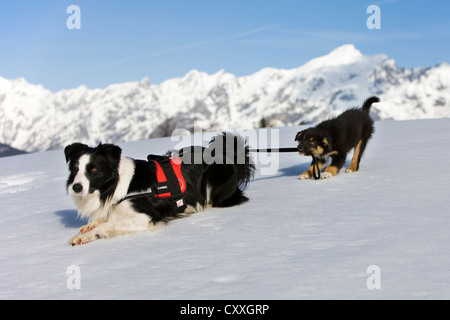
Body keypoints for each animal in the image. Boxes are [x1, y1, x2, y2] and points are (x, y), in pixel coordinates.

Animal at [64, 132, 253, 245]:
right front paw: (88, 228)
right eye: (75, 169)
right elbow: (105, 219)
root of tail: (227, 155)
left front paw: (88, 234)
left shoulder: (146, 216)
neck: (114, 185)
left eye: (93, 170)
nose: (76, 187)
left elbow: (109, 224)